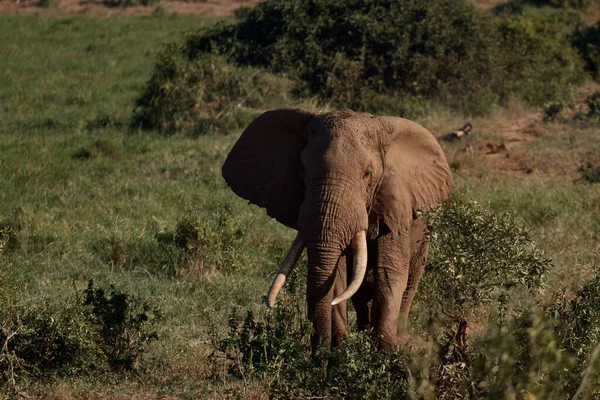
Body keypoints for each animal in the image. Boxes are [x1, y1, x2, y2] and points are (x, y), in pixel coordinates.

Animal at [221, 108, 454, 348]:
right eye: (302, 169)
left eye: (368, 174)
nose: (319, 350)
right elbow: (338, 274)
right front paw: (341, 349)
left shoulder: (395, 204)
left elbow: (390, 272)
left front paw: (386, 352)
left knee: (408, 284)